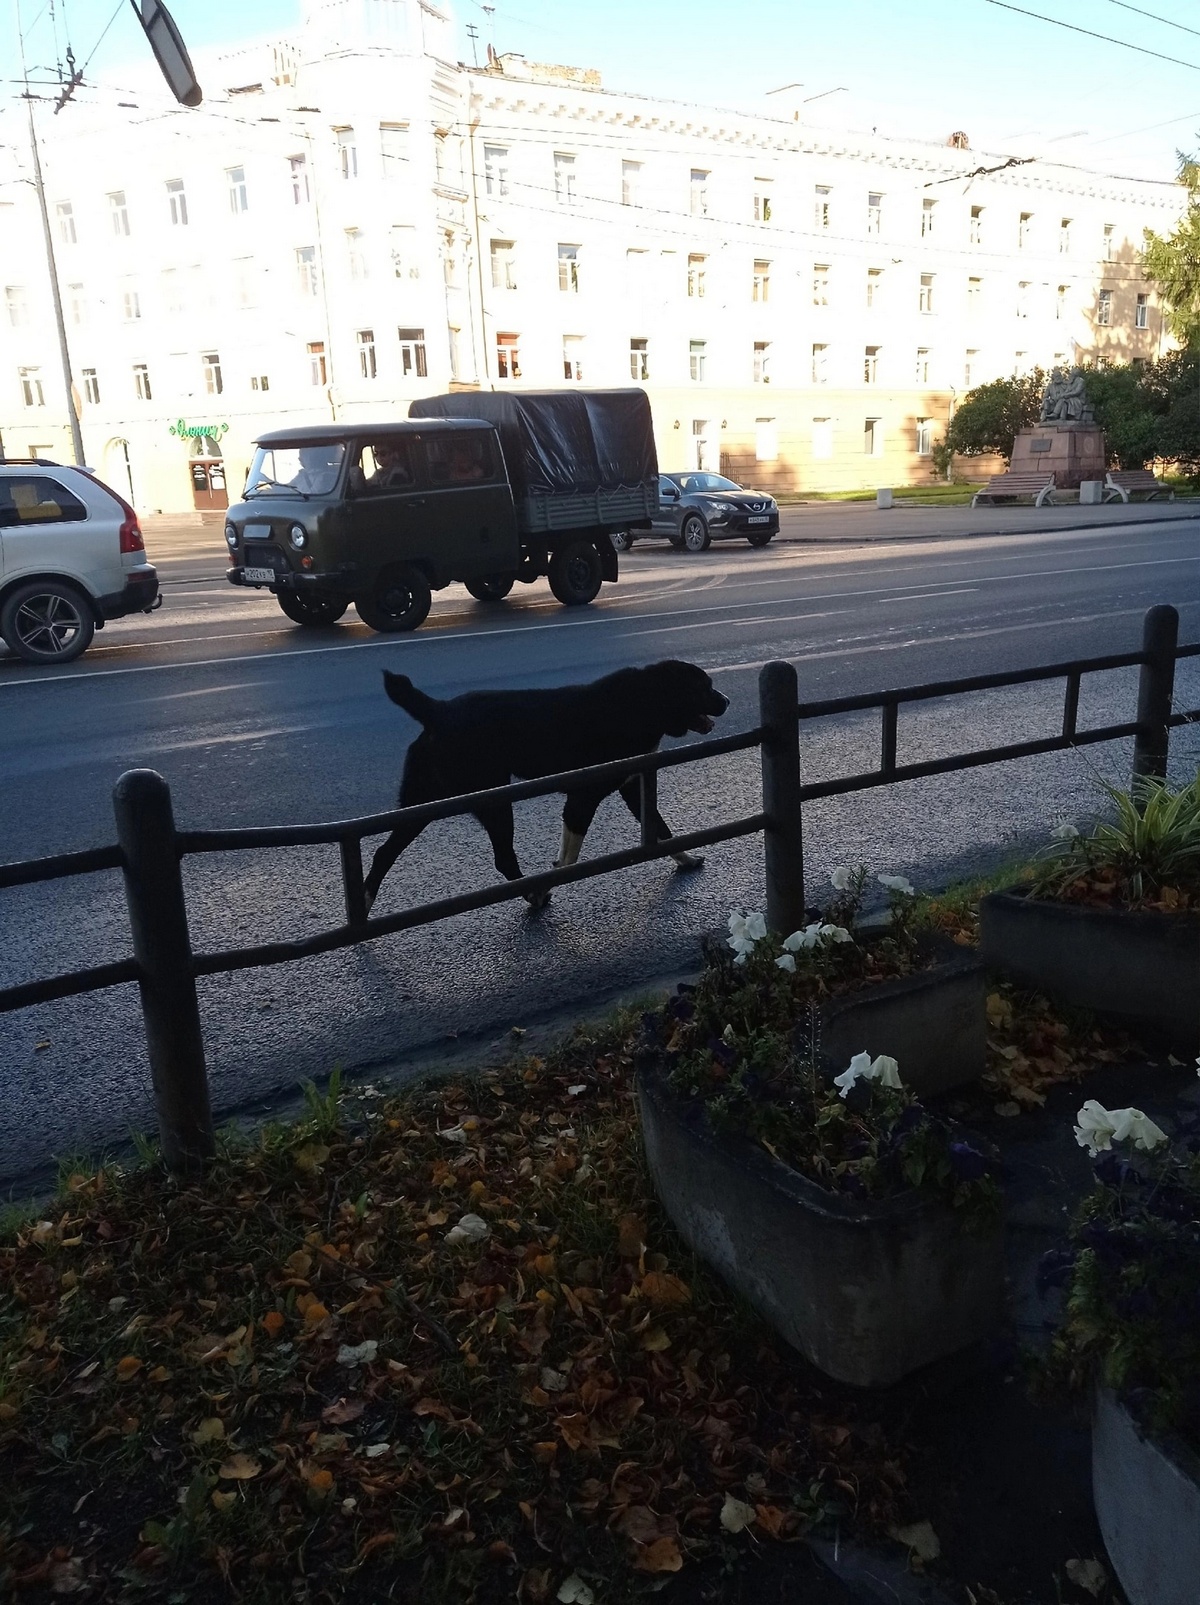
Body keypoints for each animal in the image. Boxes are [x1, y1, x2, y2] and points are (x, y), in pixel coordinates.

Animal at [360, 661, 725, 918]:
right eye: (704, 686)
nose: (727, 700)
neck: (644, 700)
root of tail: (437, 709)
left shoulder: (633, 790)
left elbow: (661, 830)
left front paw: (686, 859)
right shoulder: (580, 801)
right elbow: (569, 860)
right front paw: (550, 880)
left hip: (422, 803)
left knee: (384, 853)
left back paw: (364, 902)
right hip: (492, 801)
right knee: (504, 858)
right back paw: (533, 894)